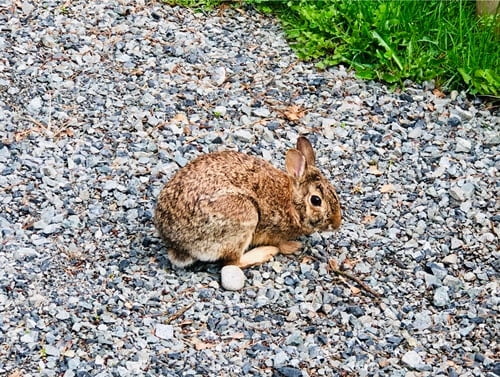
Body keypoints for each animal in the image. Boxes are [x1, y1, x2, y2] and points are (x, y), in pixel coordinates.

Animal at [154, 135, 342, 268]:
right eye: (316, 200)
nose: (337, 223)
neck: (291, 202)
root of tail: (177, 244)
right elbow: (280, 243)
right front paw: (292, 246)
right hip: (245, 216)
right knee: (232, 263)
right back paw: (265, 253)